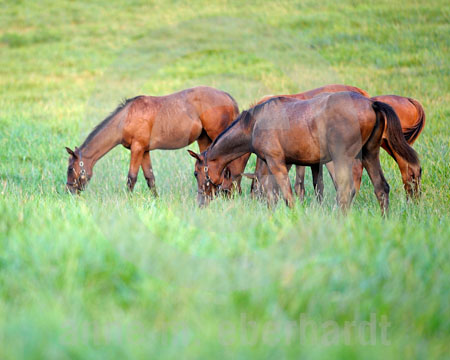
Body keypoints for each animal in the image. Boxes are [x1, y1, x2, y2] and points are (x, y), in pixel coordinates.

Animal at [65, 86, 250, 194]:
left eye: (70, 168)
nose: (69, 190)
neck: (126, 118)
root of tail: (228, 97)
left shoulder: (137, 148)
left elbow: (131, 178)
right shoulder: (144, 150)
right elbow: (150, 178)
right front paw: (156, 200)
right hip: (204, 140)